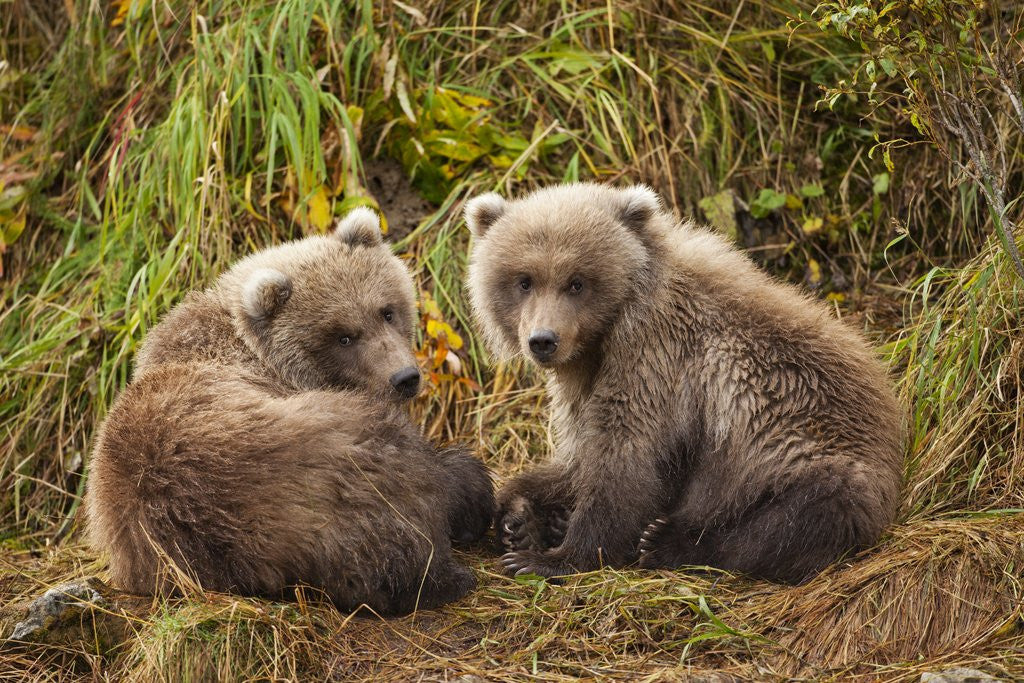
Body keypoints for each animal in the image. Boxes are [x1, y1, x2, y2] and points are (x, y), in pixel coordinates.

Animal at [464, 182, 904, 583]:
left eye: (576, 281)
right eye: (524, 280)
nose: (543, 340)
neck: (607, 333)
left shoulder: (655, 357)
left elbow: (623, 455)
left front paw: (550, 557)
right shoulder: (584, 379)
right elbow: (578, 457)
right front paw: (520, 516)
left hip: (810, 457)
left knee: (790, 522)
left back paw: (666, 542)